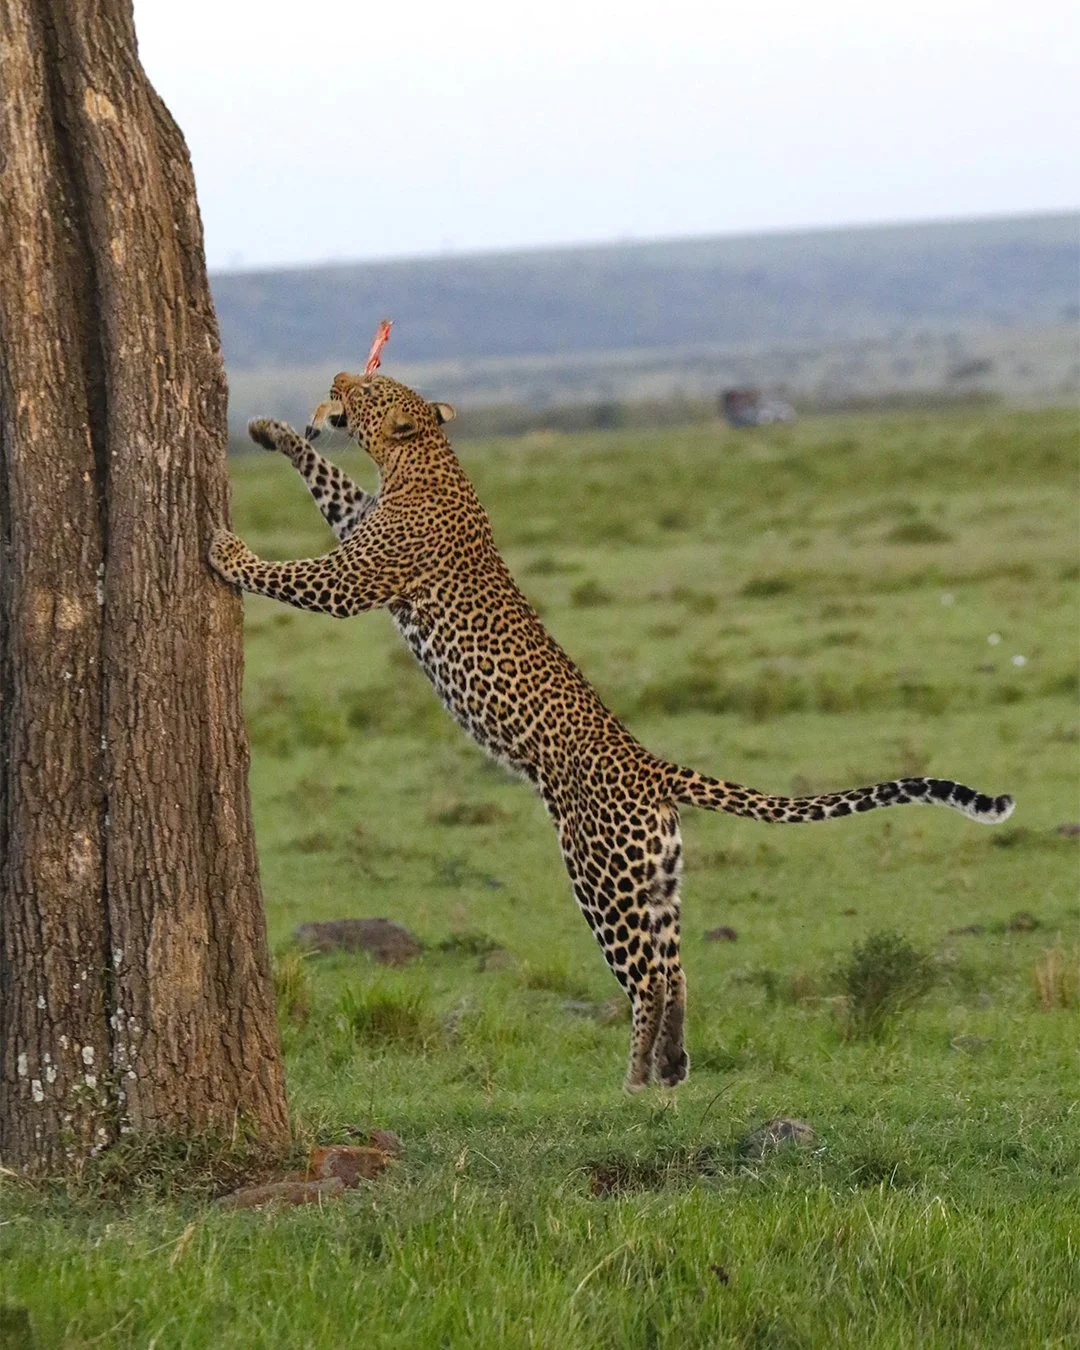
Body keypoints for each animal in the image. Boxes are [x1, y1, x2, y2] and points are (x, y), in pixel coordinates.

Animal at [209, 368, 1015, 1092]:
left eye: (373, 390)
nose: (344, 377)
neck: (424, 459)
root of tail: (650, 764)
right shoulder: (358, 521)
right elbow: (328, 477)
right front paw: (269, 431)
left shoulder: (356, 577)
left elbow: (293, 573)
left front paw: (228, 551)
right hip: (657, 876)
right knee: (679, 966)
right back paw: (672, 1065)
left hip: (598, 872)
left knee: (648, 977)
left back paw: (634, 1076)